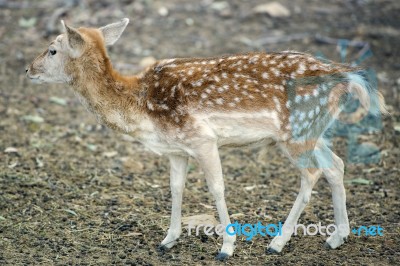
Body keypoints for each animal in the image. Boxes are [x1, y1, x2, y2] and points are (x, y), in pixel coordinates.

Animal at [25, 18, 388, 260]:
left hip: (296, 131)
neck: (141, 107)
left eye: (53, 49)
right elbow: (176, 188)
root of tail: (346, 76)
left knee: (312, 173)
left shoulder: (202, 139)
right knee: (336, 165)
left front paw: (227, 247)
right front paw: (168, 239)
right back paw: (337, 238)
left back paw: (278, 242)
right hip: (315, 130)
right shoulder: (176, 149)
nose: (28, 70)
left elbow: (217, 188)